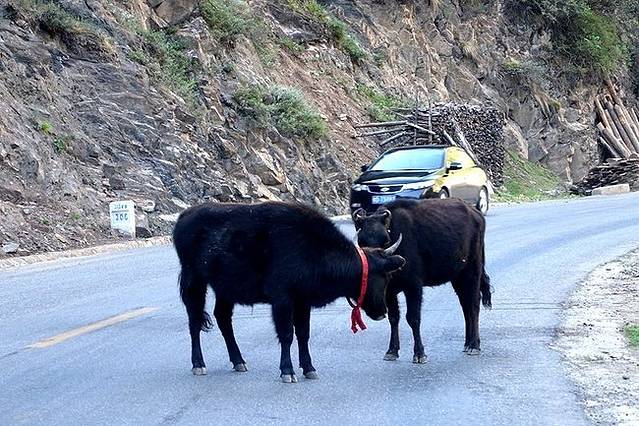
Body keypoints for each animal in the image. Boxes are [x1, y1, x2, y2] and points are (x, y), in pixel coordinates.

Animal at [173, 201, 405, 383]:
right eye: (384, 276)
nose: (382, 312)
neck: (313, 247)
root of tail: (184, 217)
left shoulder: (303, 302)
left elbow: (303, 334)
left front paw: (309, 368)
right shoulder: (283, 300)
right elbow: (286, 334)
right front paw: (288, 371)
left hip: (224, 289)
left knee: (223, 319)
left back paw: (239, 362)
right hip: (194, 282)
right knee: (194, 321)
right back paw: (198, 364)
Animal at [352, 198, 491, 362]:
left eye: (385, 240)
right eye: (362, 241)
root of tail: (476, 214)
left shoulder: (414, 287)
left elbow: (413, 318)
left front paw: (419, 353)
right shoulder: (389, 292)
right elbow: (393, 318)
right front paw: (392, 351)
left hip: (473, 270)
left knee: (474, 303)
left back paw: (474, 345)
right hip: (458, 276)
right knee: (465, 305)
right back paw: (467, 343)